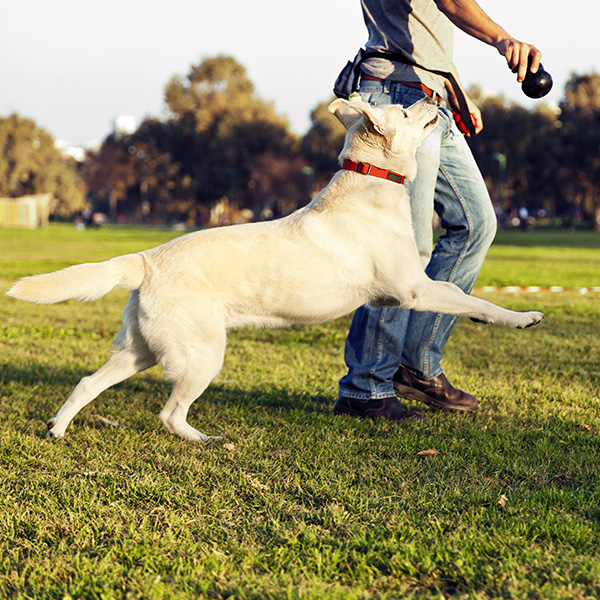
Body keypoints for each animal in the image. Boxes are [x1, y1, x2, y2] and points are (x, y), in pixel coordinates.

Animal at [8, 98, 544, 442]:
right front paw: (521, 318)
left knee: (87, 382)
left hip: (141, 350)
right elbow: (473, 299)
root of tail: (145, 259)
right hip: (201, 355)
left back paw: (58, 429)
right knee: (169, 413)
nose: (436, 96)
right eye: (407, 111)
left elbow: (461, 300)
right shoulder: (414, 289)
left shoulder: (406, 293)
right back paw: (204, 440)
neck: (370, 183)